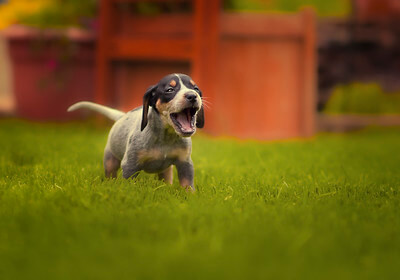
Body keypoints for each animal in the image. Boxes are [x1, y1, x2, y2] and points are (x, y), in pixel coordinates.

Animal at [68, 72, 203, 191]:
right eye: (170, 90)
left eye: (195, 88)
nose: (192, 95)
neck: (165, 138)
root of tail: (122, 116)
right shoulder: (130, 165)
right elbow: (128, 186)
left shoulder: (185, 164)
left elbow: (187, 186)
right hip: (110, 161)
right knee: (110, 175)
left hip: (166, 171)